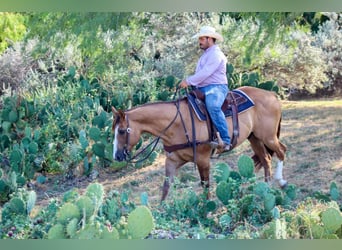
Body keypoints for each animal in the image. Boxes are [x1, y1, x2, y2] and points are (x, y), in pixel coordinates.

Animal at [111, 86, 288, 201]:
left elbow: (205, 185)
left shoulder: (203, 159)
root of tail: (271, 94)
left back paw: (281, 181)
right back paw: (266, 187)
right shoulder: (172, 161)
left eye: (122, 131)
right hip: (255, 138)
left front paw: (205, 208)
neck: (177, 123)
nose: (117, 156)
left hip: (268, 137)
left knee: (281, 151)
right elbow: (166, 188)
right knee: (266, 159)